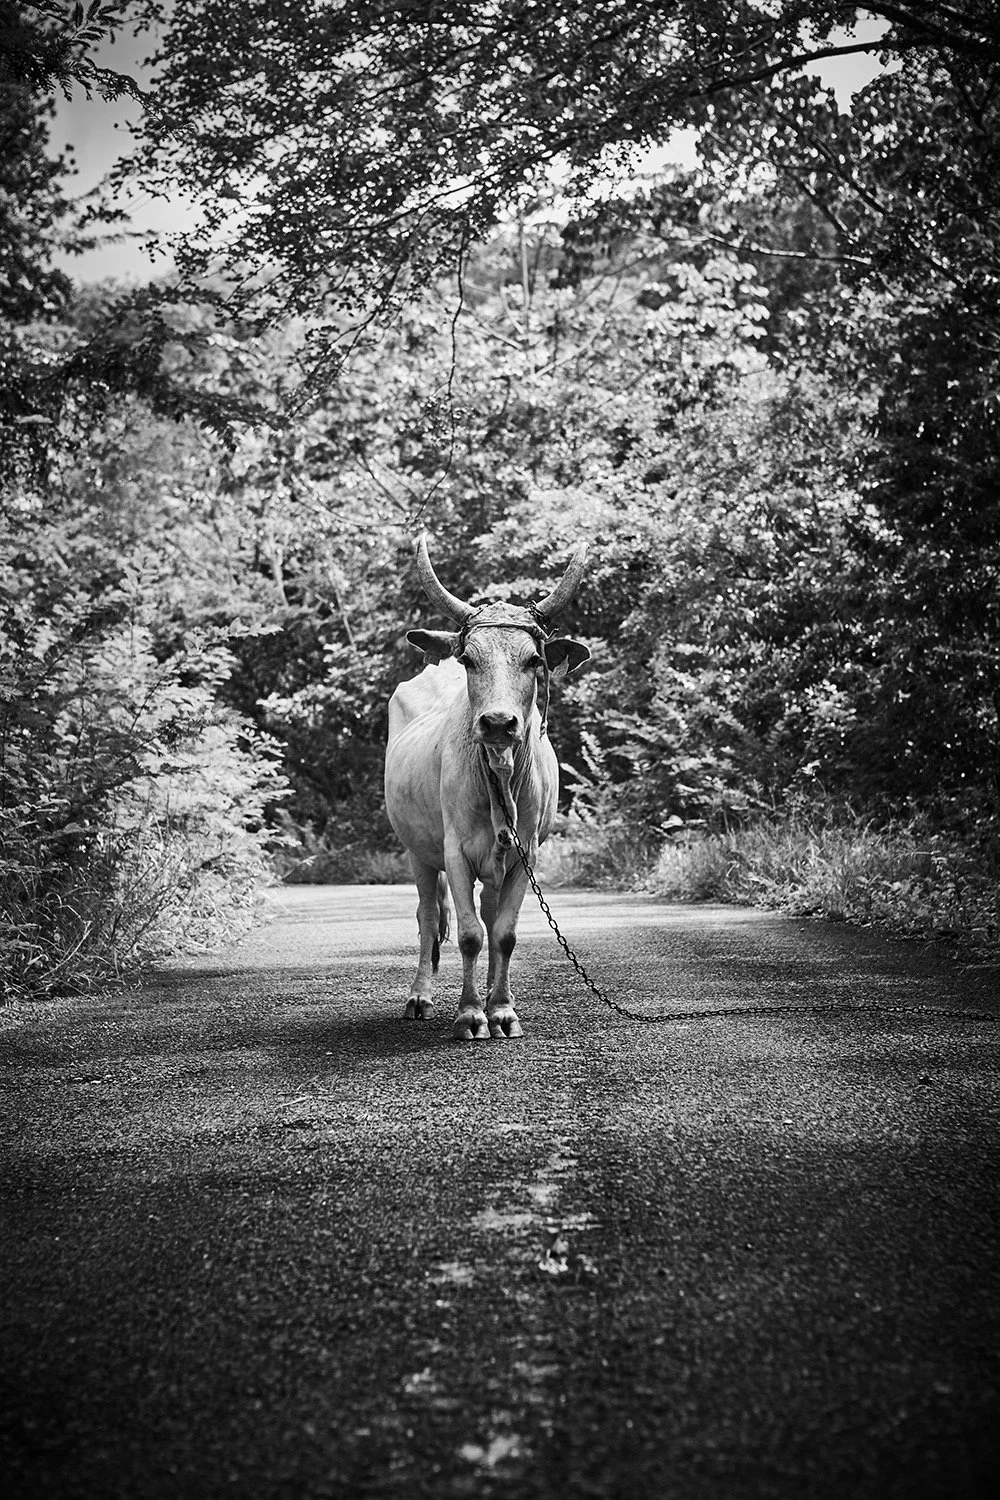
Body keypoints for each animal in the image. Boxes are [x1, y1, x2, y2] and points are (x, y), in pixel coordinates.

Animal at [385, 535, 590, 1040]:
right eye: (468, 658)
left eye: (534, 659)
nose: (498, 723)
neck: (499, 776)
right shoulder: (455, 852)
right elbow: (469, 934)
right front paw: (469, 1014)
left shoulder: (525, 854)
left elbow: (504, 934)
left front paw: (501, 1011)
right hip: (418, 852)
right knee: (428, 917)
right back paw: (420, 997)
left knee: (490, 914)